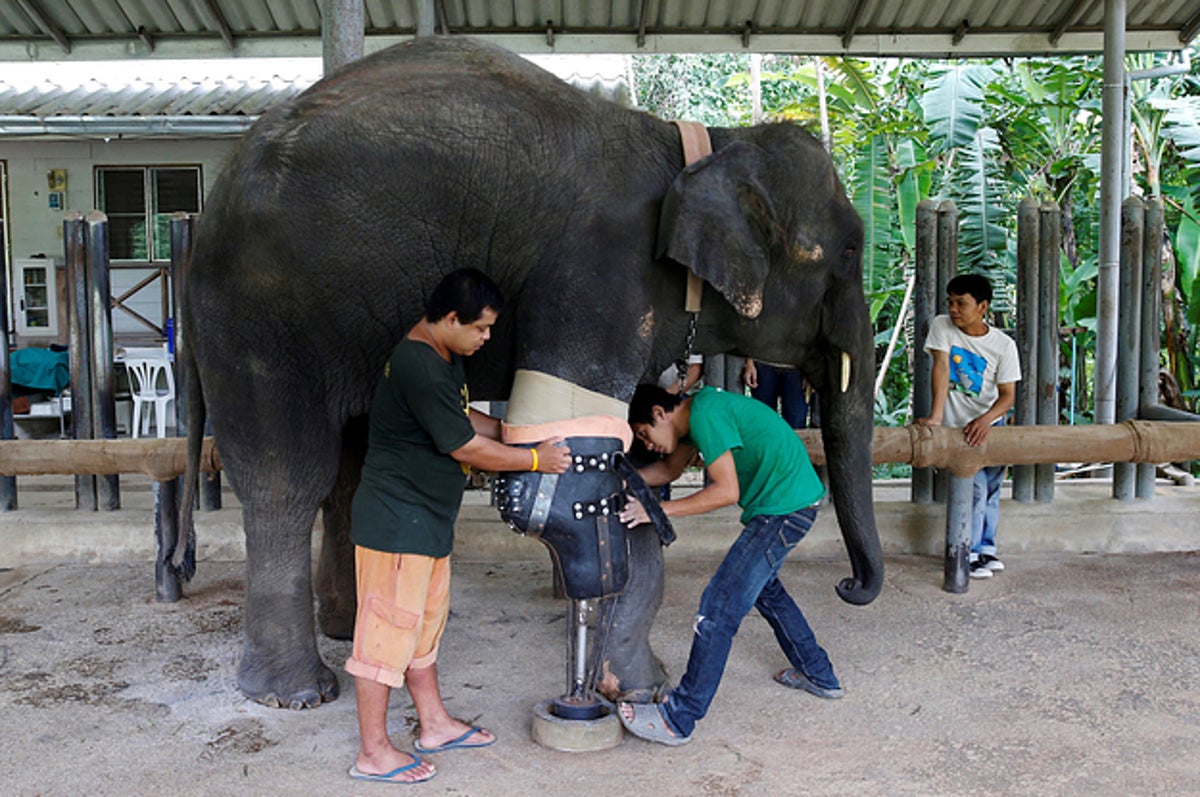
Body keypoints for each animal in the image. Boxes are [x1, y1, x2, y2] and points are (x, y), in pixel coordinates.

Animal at [177, 35, 883, 710]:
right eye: (850, 249)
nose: (850, 585)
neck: (697, 143)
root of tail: (204, 216)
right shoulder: (598, 275)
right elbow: (582, 472)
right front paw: (637, 688)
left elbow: (621, 462)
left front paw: (629, 682)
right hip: (261, 318)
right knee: (286, 479)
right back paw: (294, 692)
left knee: (349, 471)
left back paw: (350, 632)